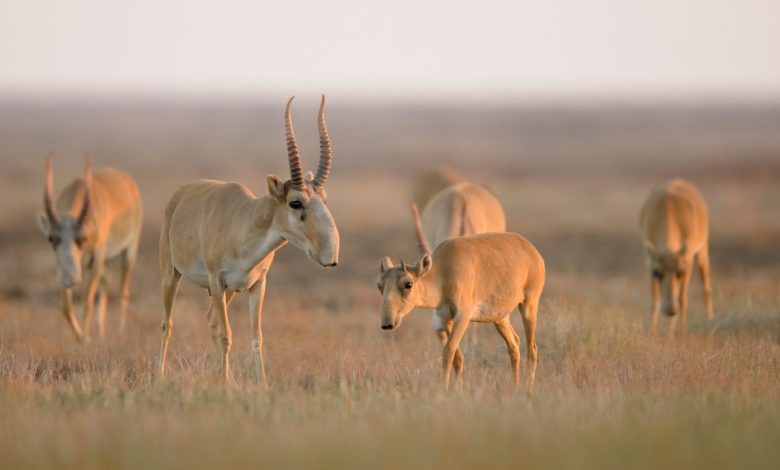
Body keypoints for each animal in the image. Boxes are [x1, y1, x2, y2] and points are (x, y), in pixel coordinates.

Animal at [37, 154, 143, 342]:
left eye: (83, 238)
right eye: (51, 238)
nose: (70, 279)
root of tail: (127, 181)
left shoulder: (97, 258)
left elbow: (87, 302)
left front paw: (86, 340)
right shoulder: (63, 267)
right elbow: (66, 307)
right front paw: (81, 339)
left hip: (129, 250)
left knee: (124, 291)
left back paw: (120, 333)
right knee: (106, 279)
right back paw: (102, 335)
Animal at [158, 94, 338, 382]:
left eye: (324, 199)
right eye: (295, 202)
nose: (330, 256)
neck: (243, 221)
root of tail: (181, 193)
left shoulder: (257, 285)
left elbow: (256, 337)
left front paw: (260, 384)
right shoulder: (217, 280)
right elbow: (226, 335)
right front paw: (226, 385)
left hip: (228, 291)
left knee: (210, 319)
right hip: (172, 275)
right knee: (168, 323)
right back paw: (160, 375)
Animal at [376, 230, 544, 390]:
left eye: (408, 284)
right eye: (379, 285)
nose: (387, 324)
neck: (443, 272)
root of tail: (532, 250)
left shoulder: (463, 317)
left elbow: (448, 351)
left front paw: (445, 389)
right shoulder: (446, 318)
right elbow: (457, 357)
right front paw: (458, 389)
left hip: (529, 305)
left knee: (532, 349)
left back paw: (528, 387)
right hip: (500, 318)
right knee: (514, 345)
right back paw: (516, 386)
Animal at [640, 178, 712, 336]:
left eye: (680, 272)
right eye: (657, 272)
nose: (670, 310)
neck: (668, 210)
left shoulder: (688, 262)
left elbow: (682, 298)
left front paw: (681, 332)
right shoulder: (649, 263)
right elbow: (655, 300)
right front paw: (651, 332)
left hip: (703, 250)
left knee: (706, 286)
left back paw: (710, 320)